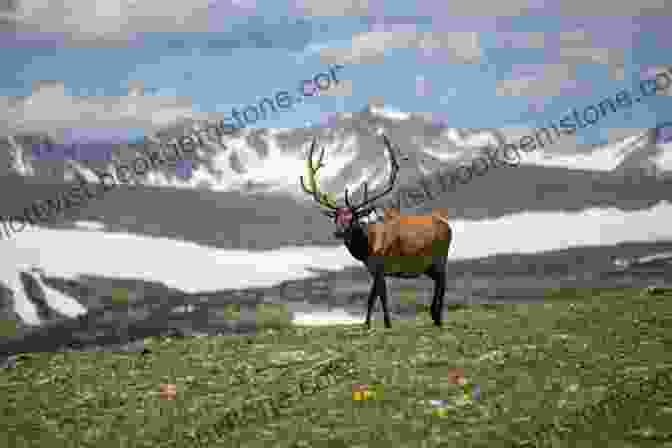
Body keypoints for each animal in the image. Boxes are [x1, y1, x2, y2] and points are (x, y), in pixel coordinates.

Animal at [302, 134, 454, 328]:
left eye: (353, 218)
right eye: (336, 218)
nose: (338, 232)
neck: (367, 249)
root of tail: (448, 226)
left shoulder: (382, 266)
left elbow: (381, 296)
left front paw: (387, 324)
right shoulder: (373, 270)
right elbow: (372, 297)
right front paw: (367, 324)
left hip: (440, 258)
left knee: (442, 283)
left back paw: (438, 317)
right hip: (428, 266)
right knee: (438, 283)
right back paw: (434, 315)